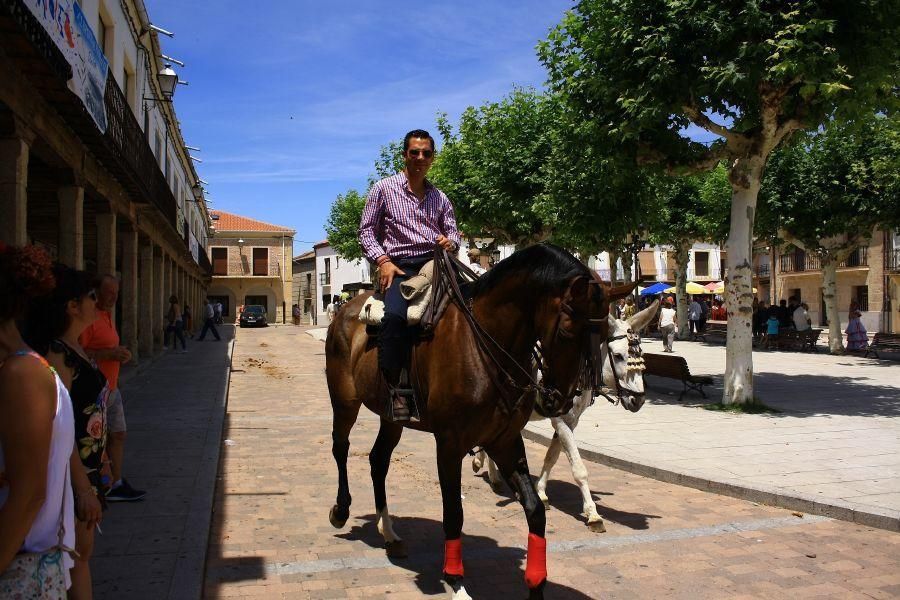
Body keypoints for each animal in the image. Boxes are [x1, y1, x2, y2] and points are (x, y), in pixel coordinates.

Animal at [326, 241, 632, 596]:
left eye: (603, 334)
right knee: (340, 448)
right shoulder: (448, 444)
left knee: (378, 461)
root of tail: (346, 310)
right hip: (345, 401)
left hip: (392, 418)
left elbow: (535, 509)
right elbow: (454, 513)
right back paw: (341, 510)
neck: (487, 344)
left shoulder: (505, 440)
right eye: (568, 331)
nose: (561, 399)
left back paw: (389, 533)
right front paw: (456, 581)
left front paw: (536, 582)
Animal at [474, 302, 656, 532]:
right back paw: (491, 473)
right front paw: (593, 514)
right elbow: (579, 468)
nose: (638, 400)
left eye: (641, 354)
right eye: (618, 356)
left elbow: (552, 456)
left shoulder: (571, 420)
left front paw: (541, 492)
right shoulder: (560, 419)